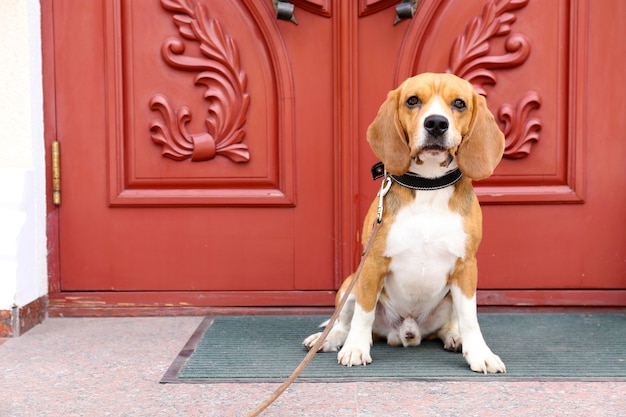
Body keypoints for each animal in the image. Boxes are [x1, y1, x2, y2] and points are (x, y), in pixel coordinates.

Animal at [304, 72, 508, 374]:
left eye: (459, 103)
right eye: (413, 100)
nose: (436, 123)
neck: (428, 186)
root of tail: (406, 332)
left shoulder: (466, 268)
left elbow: (470, 319)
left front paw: (480, 353)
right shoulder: (373, 264)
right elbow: (363, 314)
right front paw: (355, 349)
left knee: (449, 325)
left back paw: (454, 337)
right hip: (351, 282)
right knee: (343, 321)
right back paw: (330, 339)